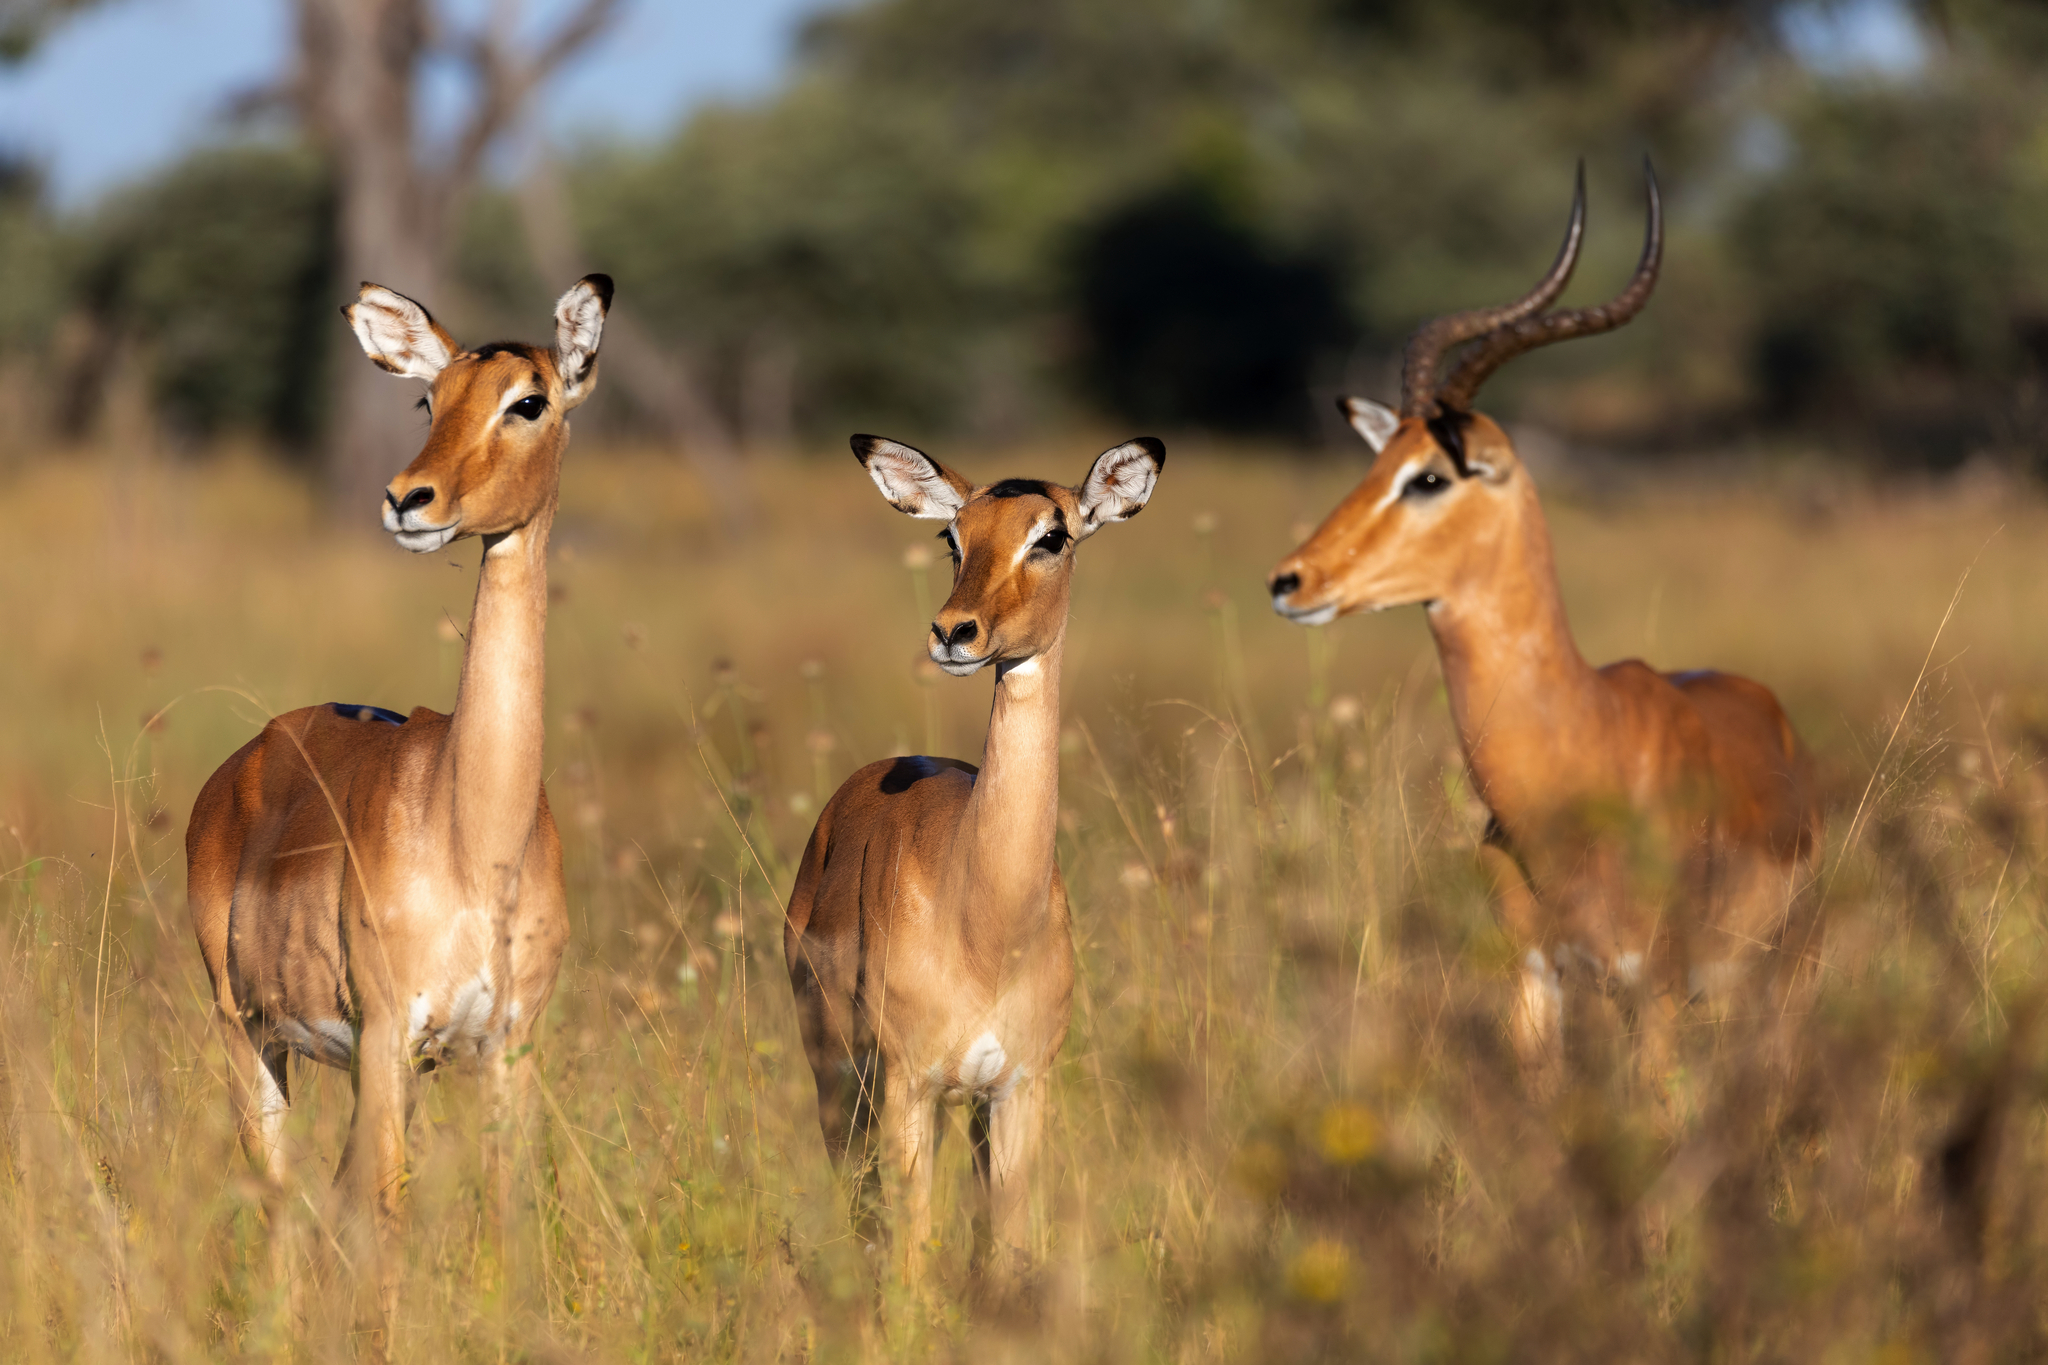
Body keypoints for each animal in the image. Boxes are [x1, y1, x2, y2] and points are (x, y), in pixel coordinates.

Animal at [185, 275, 610, 1321]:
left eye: (529, 399)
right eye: (428, 398)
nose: (408, 500)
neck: (475, 835)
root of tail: (247, 755)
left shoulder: (505, 1046)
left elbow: (503, 1214)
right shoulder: (385, 1031)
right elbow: (385, 1214)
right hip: (249, 1036)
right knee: (283, 1202)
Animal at [785, 434, 1164, 1283]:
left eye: (1052, 535)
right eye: (952, 536)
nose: (954, 631)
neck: (985, 923)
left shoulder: (1017, 1090)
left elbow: (1007, 1253)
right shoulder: (909, 1084)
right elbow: (911, 1263)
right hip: (839, 1081)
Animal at [1266, 165, 1821, 1073]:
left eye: (1429, 477)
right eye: (1378, 463)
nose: (1292, 580)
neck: (1577, 752)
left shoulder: (1653, 985)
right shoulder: (1534, 975)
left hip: (1780, 972)